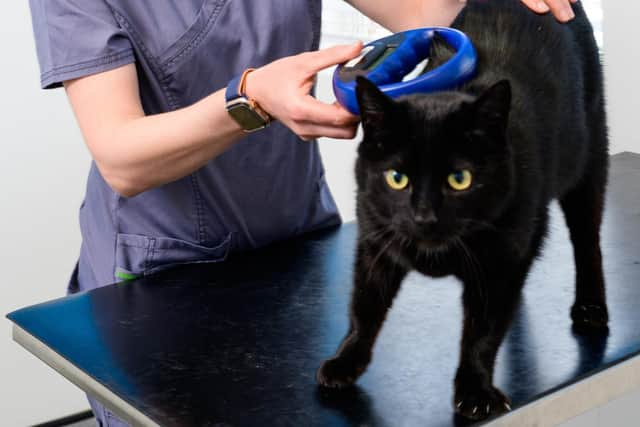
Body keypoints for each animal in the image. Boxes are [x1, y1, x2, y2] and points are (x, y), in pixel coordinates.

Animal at [318, 0, 608, 422]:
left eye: (459, 179)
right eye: (397, 178)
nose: (423, 215)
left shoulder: (500, 262)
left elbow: (482, 332)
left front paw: (475, 390)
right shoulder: (375, 242)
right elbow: (364, 304)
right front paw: (346, 360)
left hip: (588, 157)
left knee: (588, 239)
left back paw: (591, 306)